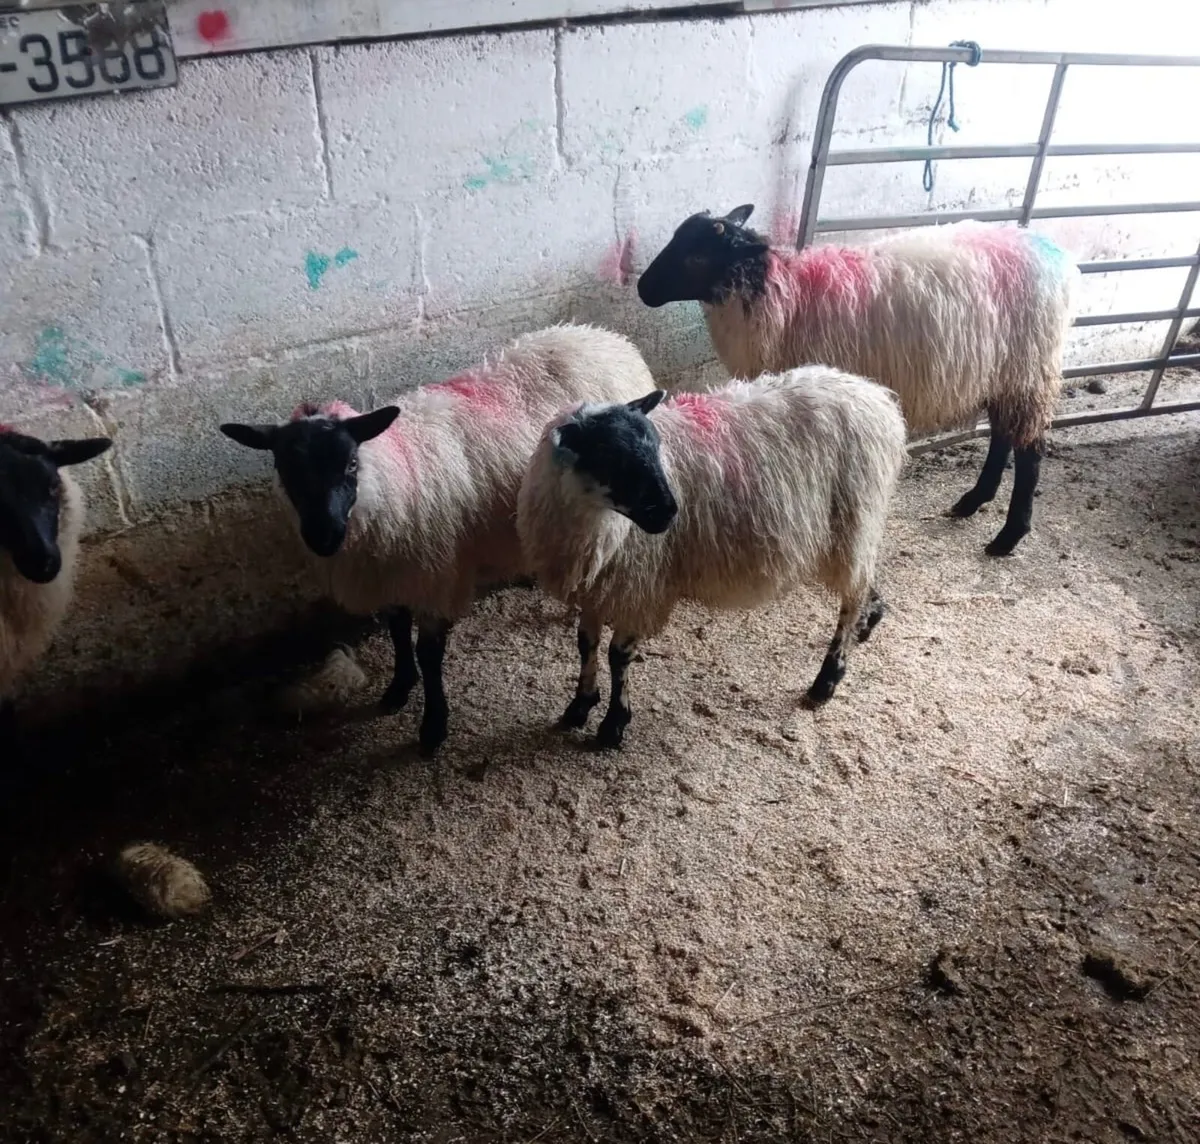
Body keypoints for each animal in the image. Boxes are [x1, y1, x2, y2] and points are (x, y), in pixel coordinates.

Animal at [220, 324, 657, 755]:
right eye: (284, 469)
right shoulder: (392, 569)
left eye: (351, 463)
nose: (324, 536)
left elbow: (429, 654)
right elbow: (397, 629)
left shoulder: (435, 573)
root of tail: (608, 338)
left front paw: (433, 725)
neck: (396, 472)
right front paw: (398, 688)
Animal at [516, 365, 907, 749]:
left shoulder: (638, 583)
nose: (670, 512)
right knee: (864, 582)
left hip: (854, 520)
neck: (593, 520)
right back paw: (870, 618)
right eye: (610, 459)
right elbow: (586, 643)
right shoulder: (597, 584)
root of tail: (875, 395)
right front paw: (580, 705)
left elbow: (618, 655)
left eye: (656, 449)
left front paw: (613, 724)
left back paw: (828, 676)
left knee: (852, 596)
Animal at [637, 205, 1080, 557]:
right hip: (1005, 370)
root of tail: (1051, 254)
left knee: (1029, 450)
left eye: (696, 256)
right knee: (1004, 435)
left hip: (1029, 366)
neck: (780, 296)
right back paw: (972, 501)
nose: (642, 289)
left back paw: (1008, 536)